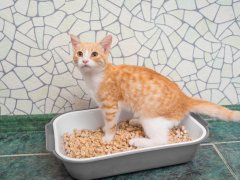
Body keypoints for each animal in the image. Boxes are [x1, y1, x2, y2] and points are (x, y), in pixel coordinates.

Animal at [69, 34, 240, 148]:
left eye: (94, 54)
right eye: (79, 53)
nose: (85, 60)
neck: (94, 77)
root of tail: (184, 98)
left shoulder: (111, 105)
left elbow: (111, 122)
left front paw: (108, 137)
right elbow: (108, 121)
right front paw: (105, 129)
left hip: (152, 119)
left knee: (161, 140)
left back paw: (139, 141)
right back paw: (135, 121)